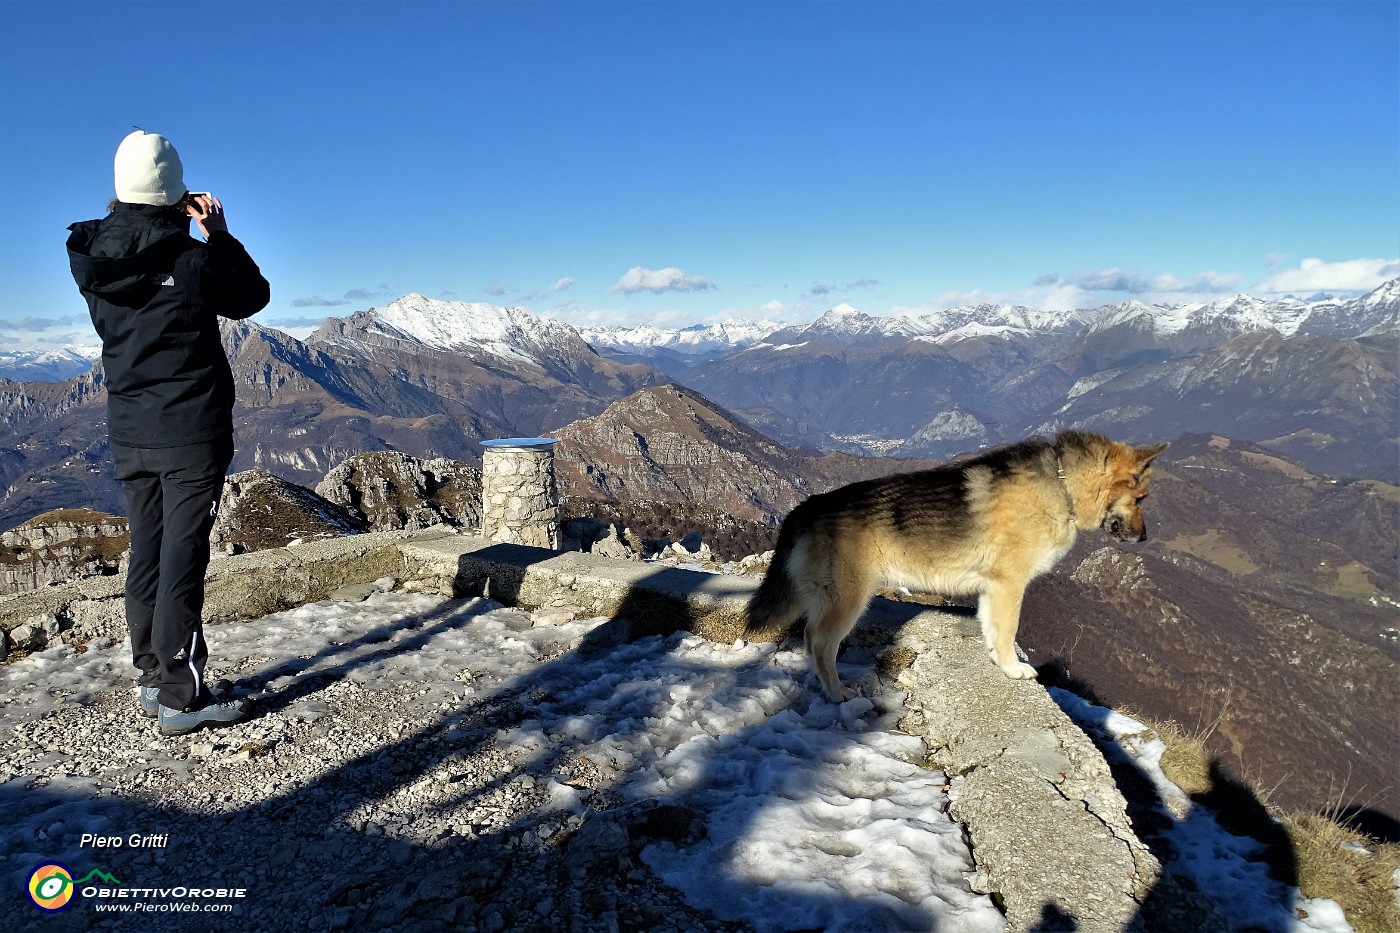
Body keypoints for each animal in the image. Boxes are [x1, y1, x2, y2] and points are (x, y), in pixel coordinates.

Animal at [750, 428, 1164, 697]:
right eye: (1140, 498)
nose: (1145, 538)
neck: (1062, 484)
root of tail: (805, 508)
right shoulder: (1009, 585)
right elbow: (1009, 631)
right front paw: (1013, 669)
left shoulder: (993, 590)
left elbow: (994, 632)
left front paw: (999, 663)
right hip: (849, 600)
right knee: (819, 642)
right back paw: (837, 693)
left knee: (810, 640)